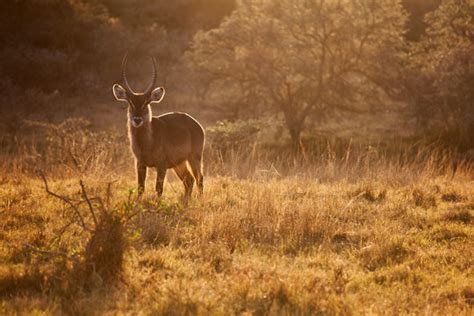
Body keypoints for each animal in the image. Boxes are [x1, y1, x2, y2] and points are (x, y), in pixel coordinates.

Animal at [114, 56, 205, 200]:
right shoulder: (139, 163)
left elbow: (159, 189)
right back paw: (186, 200)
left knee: (199, 178)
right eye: (130, 102)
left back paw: (199, 199)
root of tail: (196, 124)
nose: (137, 119)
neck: (147, 143)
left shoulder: (161, 165)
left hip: (194, 157)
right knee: (189, 180)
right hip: (179, 163)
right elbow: (140, 188)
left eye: (146, 102)